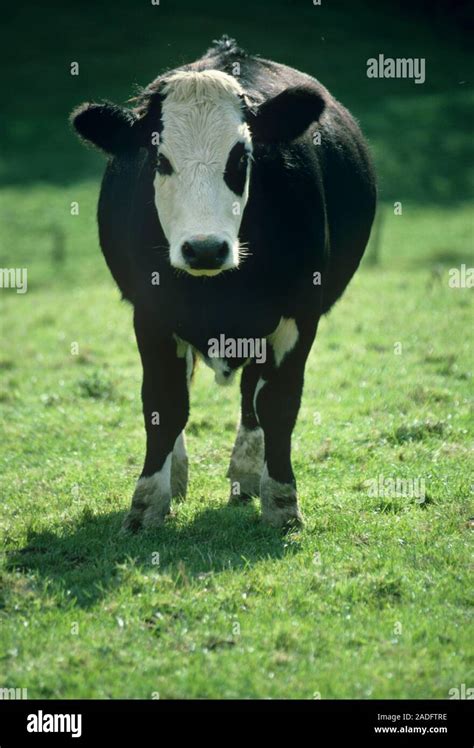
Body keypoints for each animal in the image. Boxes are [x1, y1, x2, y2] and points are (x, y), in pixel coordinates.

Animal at [70, 36, 376, 532]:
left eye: (241, 157)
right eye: (160, 159)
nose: (205, 249)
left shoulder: (299, 315)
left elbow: (278, 403)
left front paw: (282, 501)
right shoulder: (150, 312)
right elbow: (164, 402)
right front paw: (147, 504)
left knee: (252, 396)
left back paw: (248, 471)